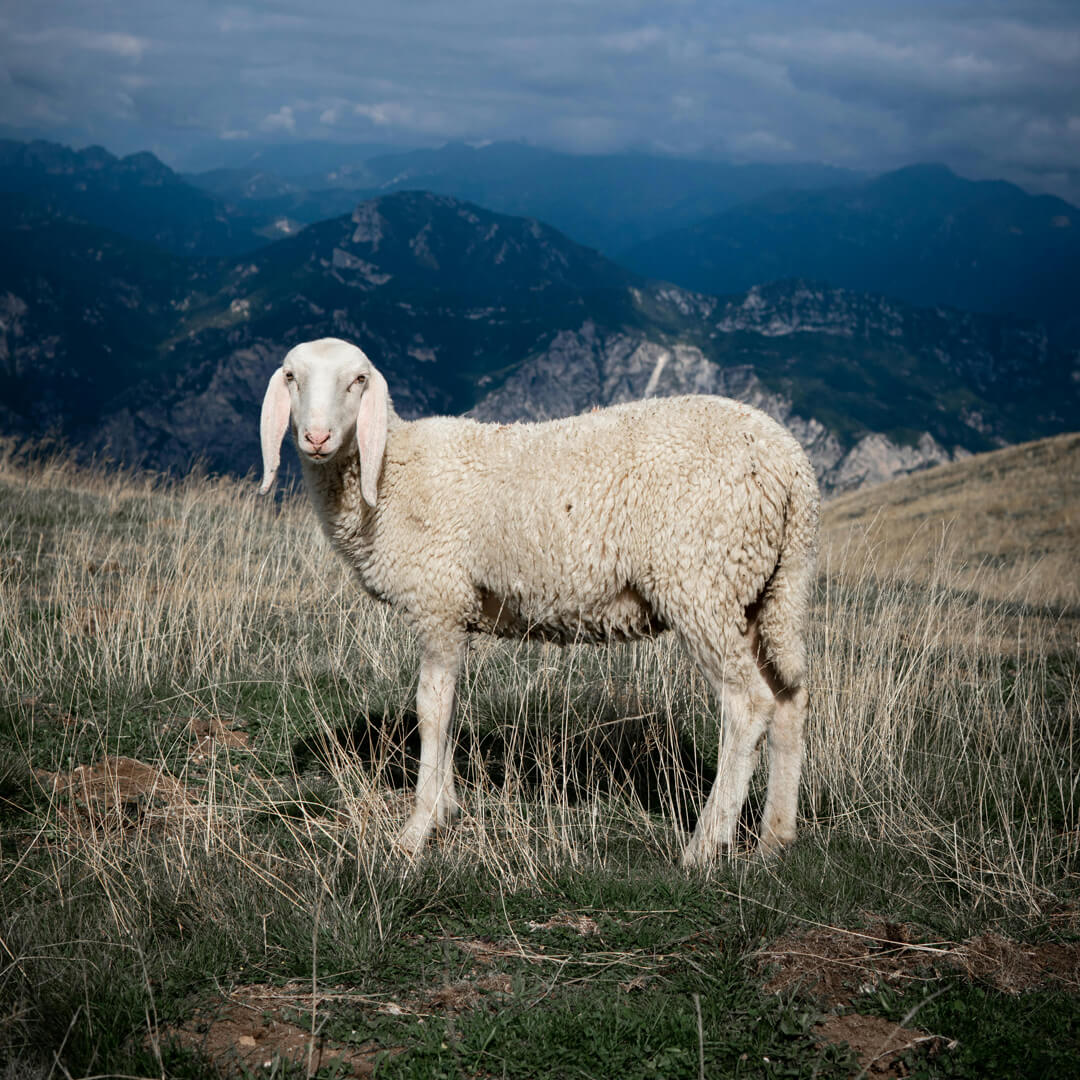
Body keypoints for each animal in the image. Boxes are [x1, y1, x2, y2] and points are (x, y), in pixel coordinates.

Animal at [259, 332, 816, 864]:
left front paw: (418, 830)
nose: (316, 437)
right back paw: (775, 839)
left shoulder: (439, 601)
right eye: (290, 376)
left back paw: (705, 844)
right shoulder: (456, 611)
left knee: (749, 705)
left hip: (702, 581)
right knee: (789, 699)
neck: (392, 473)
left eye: (357, 380)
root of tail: (791, 465)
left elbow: (430, 709)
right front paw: (446, 809)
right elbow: (450, 707)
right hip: (764, 591)